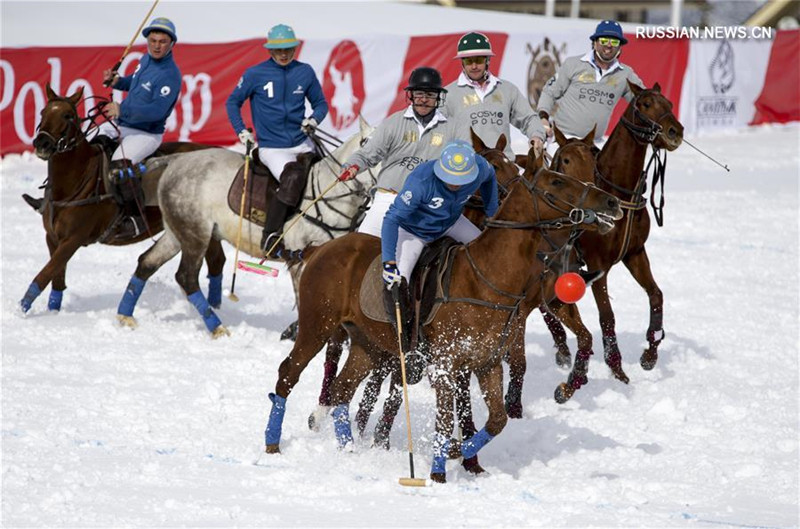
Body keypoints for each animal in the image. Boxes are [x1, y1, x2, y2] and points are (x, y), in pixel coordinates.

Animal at [19, 83, 222, 314]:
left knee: (216, 260)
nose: (42, 143)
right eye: (43, 112)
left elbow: (44, 274)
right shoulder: (52, 237)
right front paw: (53, 311)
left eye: (68, 115)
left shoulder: (74, 239)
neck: (76, 179)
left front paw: (21, 310)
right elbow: (57, 277)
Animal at [116, 117, 378, 336]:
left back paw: (125, 316)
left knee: (147, 262)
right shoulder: (300, 255)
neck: (331, 192)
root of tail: (174, 160)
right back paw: (217, 328)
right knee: (186, 277)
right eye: (365, 143)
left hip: (178, 230)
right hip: (196, 233)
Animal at [264, 144, 624, 482]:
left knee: (342, 388)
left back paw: (348, 447)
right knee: (288, 372)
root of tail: (320, 248)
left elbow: (496, 420)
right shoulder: (445, 367)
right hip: (317, 325)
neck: (487, 280)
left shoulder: (487, 363)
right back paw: (272, 443)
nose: (611, 202)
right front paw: (439, 472)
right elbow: (447, 419)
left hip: (367, 344)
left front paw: (460, 455)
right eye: (556, 181)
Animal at [540, 81, 684, 400]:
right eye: (645, 104)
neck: (620, 194)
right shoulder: (597, 264)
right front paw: (616, 368)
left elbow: (656, 295)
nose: (675, 131)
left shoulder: (635, 253)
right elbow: (607, 316)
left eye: (669, 102)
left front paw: (650, 353)